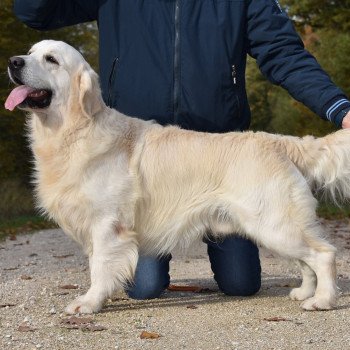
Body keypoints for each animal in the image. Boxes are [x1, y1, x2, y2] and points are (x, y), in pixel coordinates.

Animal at [6, 39, 350, 314]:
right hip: (277, 227)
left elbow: (100, 266)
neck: (74, 131)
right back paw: (304, 292)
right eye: (31, 52)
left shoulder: (107, 224)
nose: (13, 62)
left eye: (51, 59)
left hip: (275, 224)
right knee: (306, 260)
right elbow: (99, 266)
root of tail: (279, 141)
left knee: (324, 254)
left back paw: (322, 300)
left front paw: (89, 303)